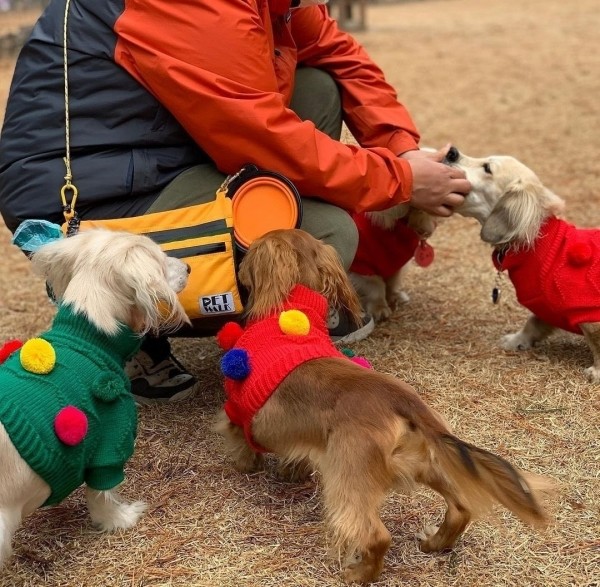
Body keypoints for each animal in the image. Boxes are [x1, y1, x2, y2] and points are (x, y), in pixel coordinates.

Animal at [0, 227, 190, 568]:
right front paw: (122, 519)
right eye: (159, 260)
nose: (190, 268)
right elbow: (103, 493)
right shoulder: (110, 442)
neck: (87, 335)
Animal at [214, 229, 548, 584]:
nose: (237, 268)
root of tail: (403, 400)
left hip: (347, 478)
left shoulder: (237, 410)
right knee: (460, 508)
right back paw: (435, 543)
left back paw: (358, 573)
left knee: (375, 535)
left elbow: (240, 439)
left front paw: (245, 465)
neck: (291, 312)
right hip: (423, 464)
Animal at [446, 147, 600, 384]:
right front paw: (517, 340)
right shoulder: (545, 306)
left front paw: (597, 371)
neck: (537, 243)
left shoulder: (589, 314)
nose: (451, 152)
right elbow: (532, 324)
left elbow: (596, 342)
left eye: (487, 168)